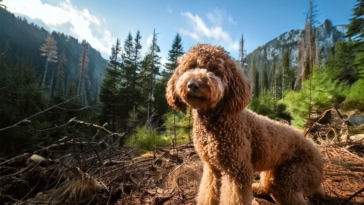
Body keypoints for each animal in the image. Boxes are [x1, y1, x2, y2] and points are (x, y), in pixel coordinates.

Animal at [165, 44, 324, 204]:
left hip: (293, 175)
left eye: (214, 70)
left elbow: (235, 198)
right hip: (273, 171)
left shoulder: (238, 170)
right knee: (270, 185)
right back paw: (257, 188)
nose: (192, 85)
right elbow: (208, 193)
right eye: (190, 67)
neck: (213, 121)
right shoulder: (212, 168)